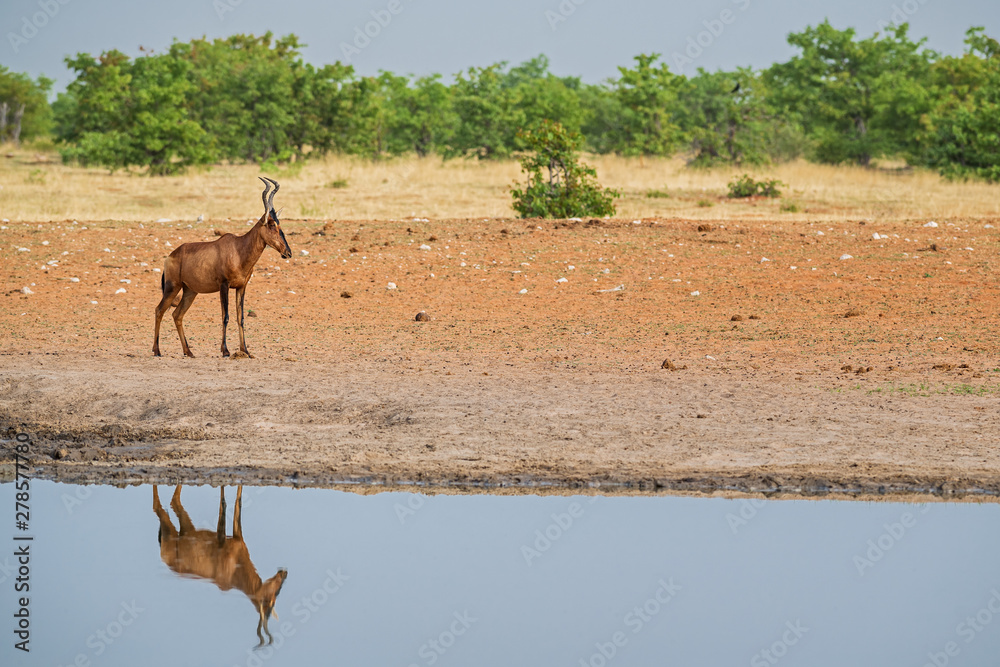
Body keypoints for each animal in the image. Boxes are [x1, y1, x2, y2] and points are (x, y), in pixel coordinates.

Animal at [152, 177, 292, 358]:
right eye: (270, 224)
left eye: (279, 224)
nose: (287, 253)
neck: (238, 249)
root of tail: (170, 256)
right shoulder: (224, 285)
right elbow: (225, 316)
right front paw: (225, 350)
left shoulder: (241, 287)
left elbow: (240, 317)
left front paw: (245, 350)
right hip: (172, 287)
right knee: (159, 310)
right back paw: (157, 350)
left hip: (190, 291)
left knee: (177, 315)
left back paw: (188, 352)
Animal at [153, 485, 288, 646]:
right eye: (270, 600)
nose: (283, 573)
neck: (234, 573)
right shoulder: (221, 541)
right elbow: (223, 504)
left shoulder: (238, 536)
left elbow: (238, 502)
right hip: (169, 532)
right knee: (158, 506)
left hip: (186, 529)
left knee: (175, 501)